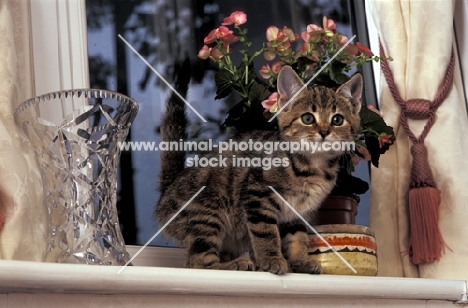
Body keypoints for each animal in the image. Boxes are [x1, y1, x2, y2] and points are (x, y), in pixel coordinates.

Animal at [157, 64, 362, 274]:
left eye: (337, 120)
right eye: (307, 118)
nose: (324, 132)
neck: (312, 167)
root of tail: (168, 188)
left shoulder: (297, 213)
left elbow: (297, 237)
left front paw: (300, 261)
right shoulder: (257, 196)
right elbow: (266, 232)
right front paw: (272, 259)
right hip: (207, 215)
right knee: (197, 263)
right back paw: (235, 264)